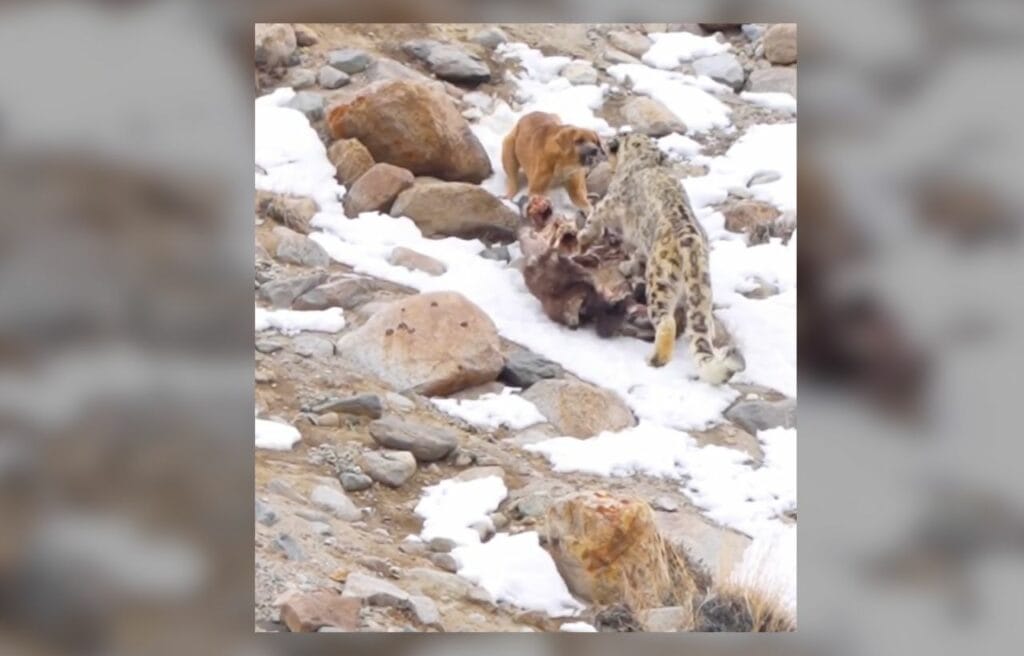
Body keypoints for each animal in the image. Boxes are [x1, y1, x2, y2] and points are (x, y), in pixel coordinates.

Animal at [577, 132, 745, 385]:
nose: (603, 145)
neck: (646, 156)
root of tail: (692, 245)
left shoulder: (610, 202)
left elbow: (594, 219)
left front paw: (583, 237)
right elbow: (637, 255)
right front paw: (628, 265)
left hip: (660, 282)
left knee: (667, 322)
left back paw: (656, 359)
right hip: (702, 292)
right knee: (704, 326)